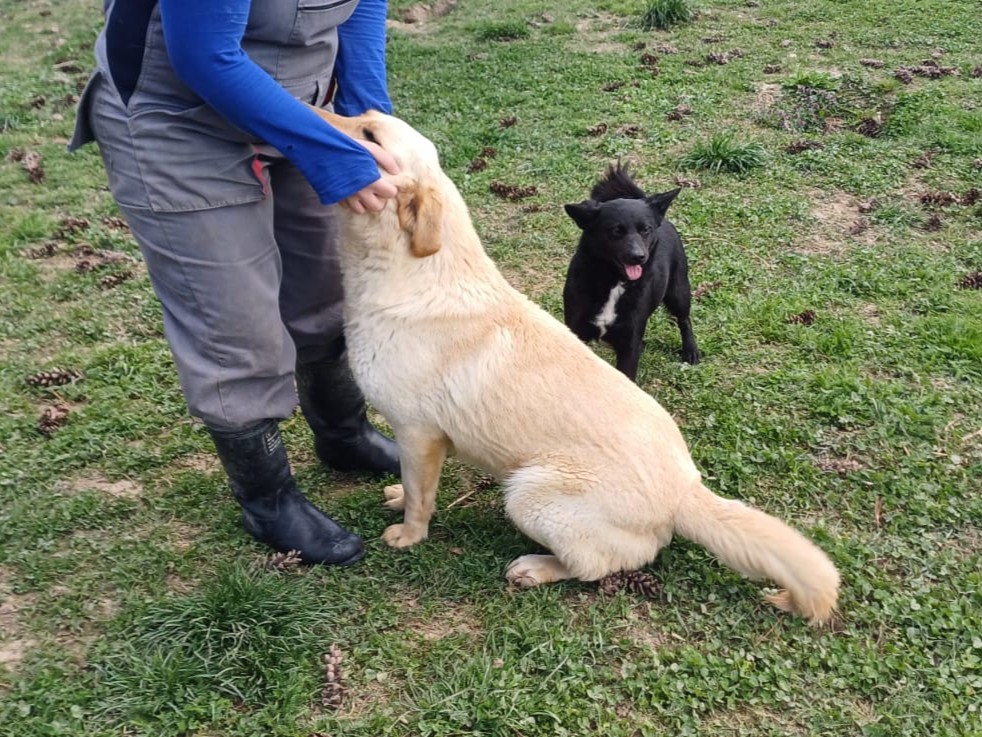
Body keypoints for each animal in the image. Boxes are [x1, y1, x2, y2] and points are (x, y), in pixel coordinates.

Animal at [563, 163, 699, 381]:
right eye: (616, 230)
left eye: (646, 229)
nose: (639, 256)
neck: (614, 281)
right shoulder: (576, 330)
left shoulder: (629, 342)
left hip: (678, 291)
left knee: (684, 319)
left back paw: (691, 350)